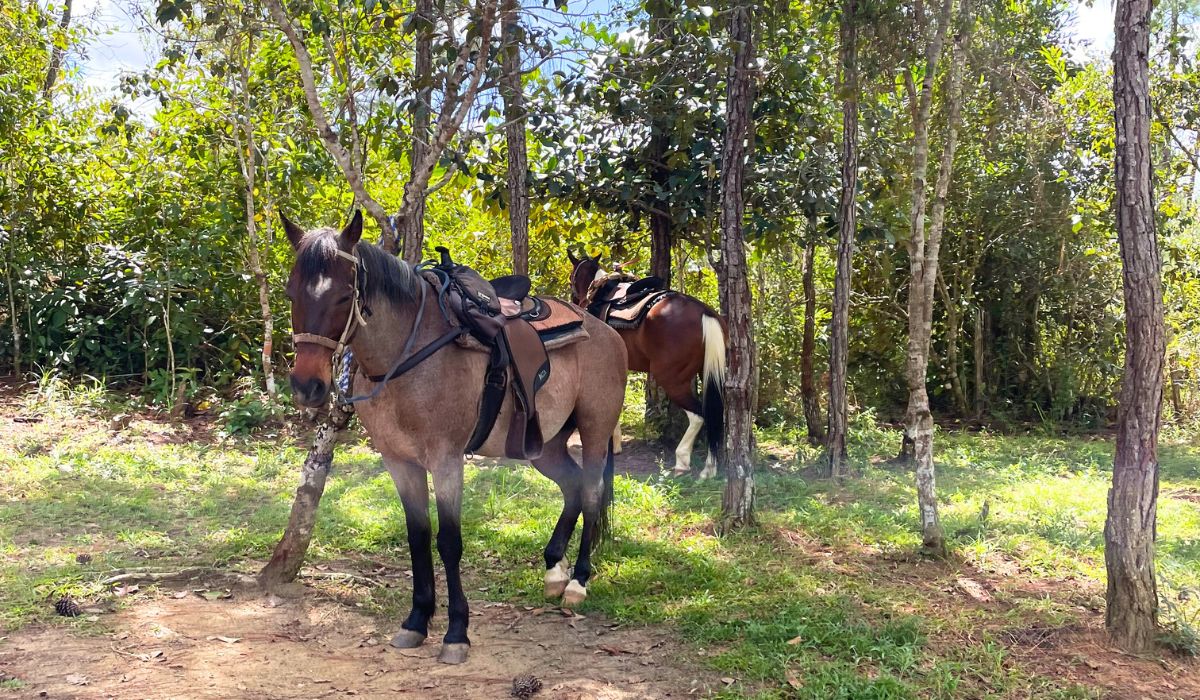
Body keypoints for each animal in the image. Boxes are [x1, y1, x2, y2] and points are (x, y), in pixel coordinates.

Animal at [283, 212, 628, 662]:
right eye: (291, 292)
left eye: (344, 296)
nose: (307, 386)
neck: (405, 357)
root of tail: (606, 331)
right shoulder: (399, 462)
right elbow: (417, 536)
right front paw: (416, 621)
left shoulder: (446, 460)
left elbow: (448, 541)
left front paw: (456, 632)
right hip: (544, 446)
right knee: (571, 488)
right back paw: (555, 570)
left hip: (595, 429)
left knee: (589, 493)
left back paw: (578, 581)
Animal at [568, 253, 724, 482]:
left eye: (573, 276)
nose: (575, 300)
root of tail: (704, 312)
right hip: (708, 374)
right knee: (714, 416)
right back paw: (710, 467)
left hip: (672, 379)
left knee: (699, 415)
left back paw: (683, 461)